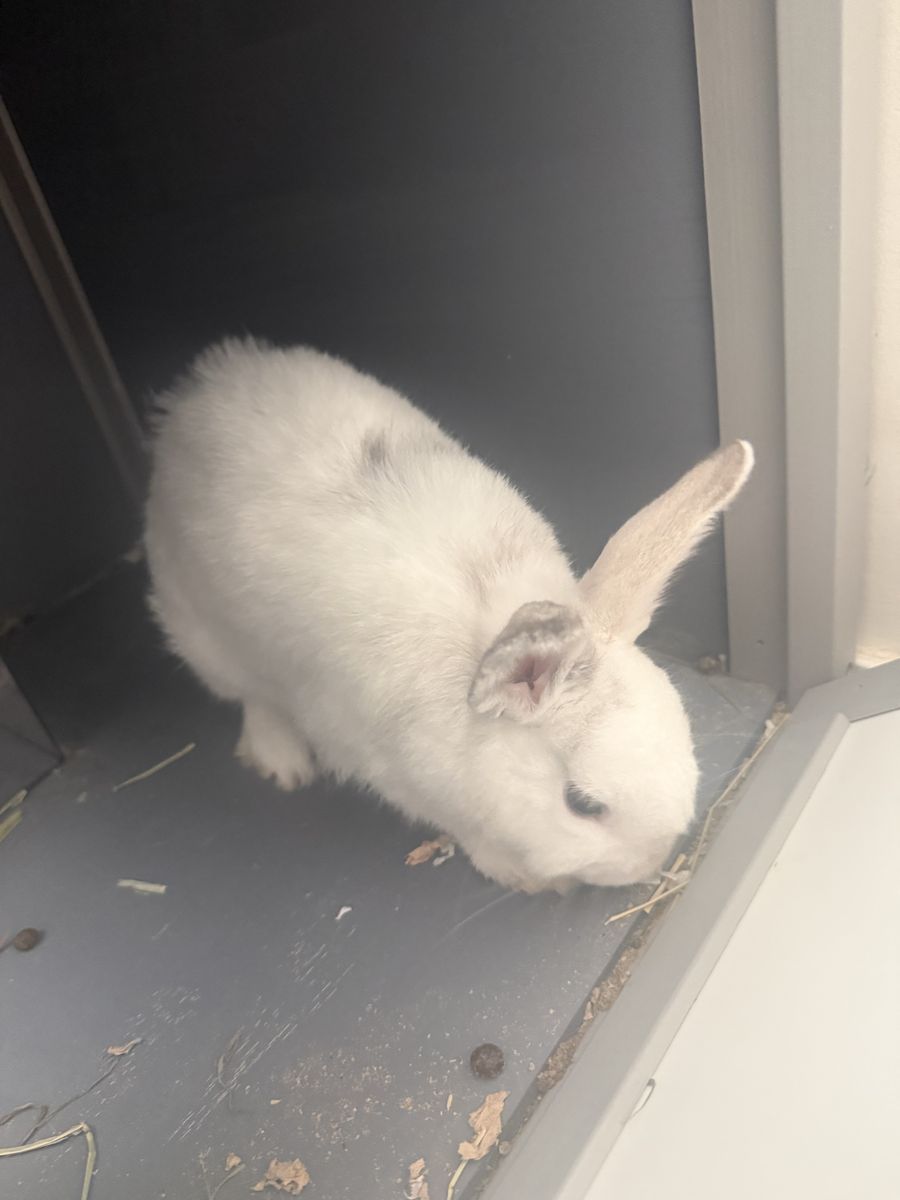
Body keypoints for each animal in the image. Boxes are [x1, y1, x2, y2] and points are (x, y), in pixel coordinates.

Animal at [144, 337, 753, 893]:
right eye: (581, 804)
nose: (647, 867)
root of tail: (199, 388)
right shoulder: (385, 763)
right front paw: (524, 876)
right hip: (201, 630)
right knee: (253, 698)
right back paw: (283, 764)